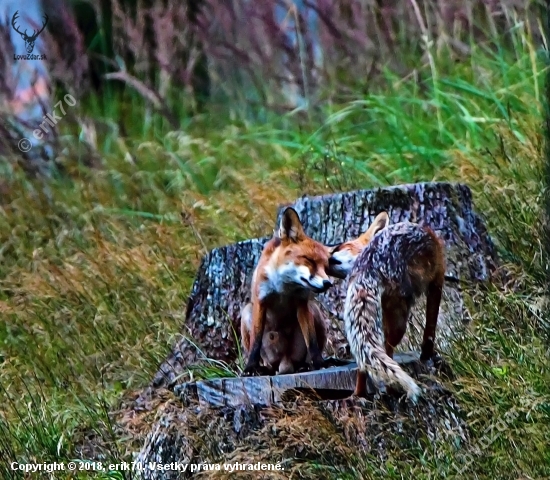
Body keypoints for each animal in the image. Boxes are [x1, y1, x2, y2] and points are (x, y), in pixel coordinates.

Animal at [244, 208, 334, 376]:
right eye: (309, 260)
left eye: (325, 267)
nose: (328, 283)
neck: (283, 288)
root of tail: (285, 364)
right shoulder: (260, 301)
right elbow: (255, 342)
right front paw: (250, 367)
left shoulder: (302, 304)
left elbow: (312, 341)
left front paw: (319, 363)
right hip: (246, 311)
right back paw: (264, 369)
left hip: (315, 310)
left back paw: (306, 366)